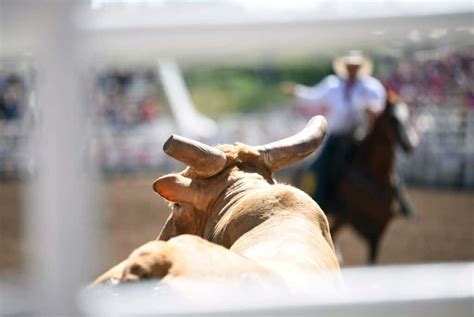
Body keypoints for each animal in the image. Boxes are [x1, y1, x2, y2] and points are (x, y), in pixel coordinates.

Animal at [328, 92, 420, 262]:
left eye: (408, 115)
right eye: (393, 118)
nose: (411, 145)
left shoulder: (381, 226)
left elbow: (372, 258)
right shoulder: (355, 217)